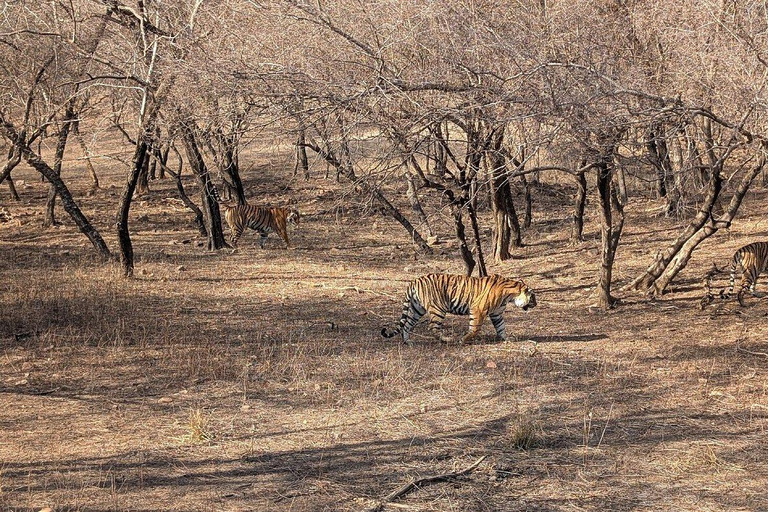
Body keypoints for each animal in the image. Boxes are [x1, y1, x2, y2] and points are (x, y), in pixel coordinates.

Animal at [381, 273, 537, 345]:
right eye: (533, 298)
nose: (536, 304)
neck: (510, 295)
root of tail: (414, 280)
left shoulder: (496, 314)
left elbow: (501, 327)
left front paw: (507, 338)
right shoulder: (478, 309)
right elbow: (475, 328)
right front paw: (463, 340)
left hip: (416, 309)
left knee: (407, 325)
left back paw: (408, 342)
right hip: (438, 308)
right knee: (432, 327)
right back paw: (447, 339)